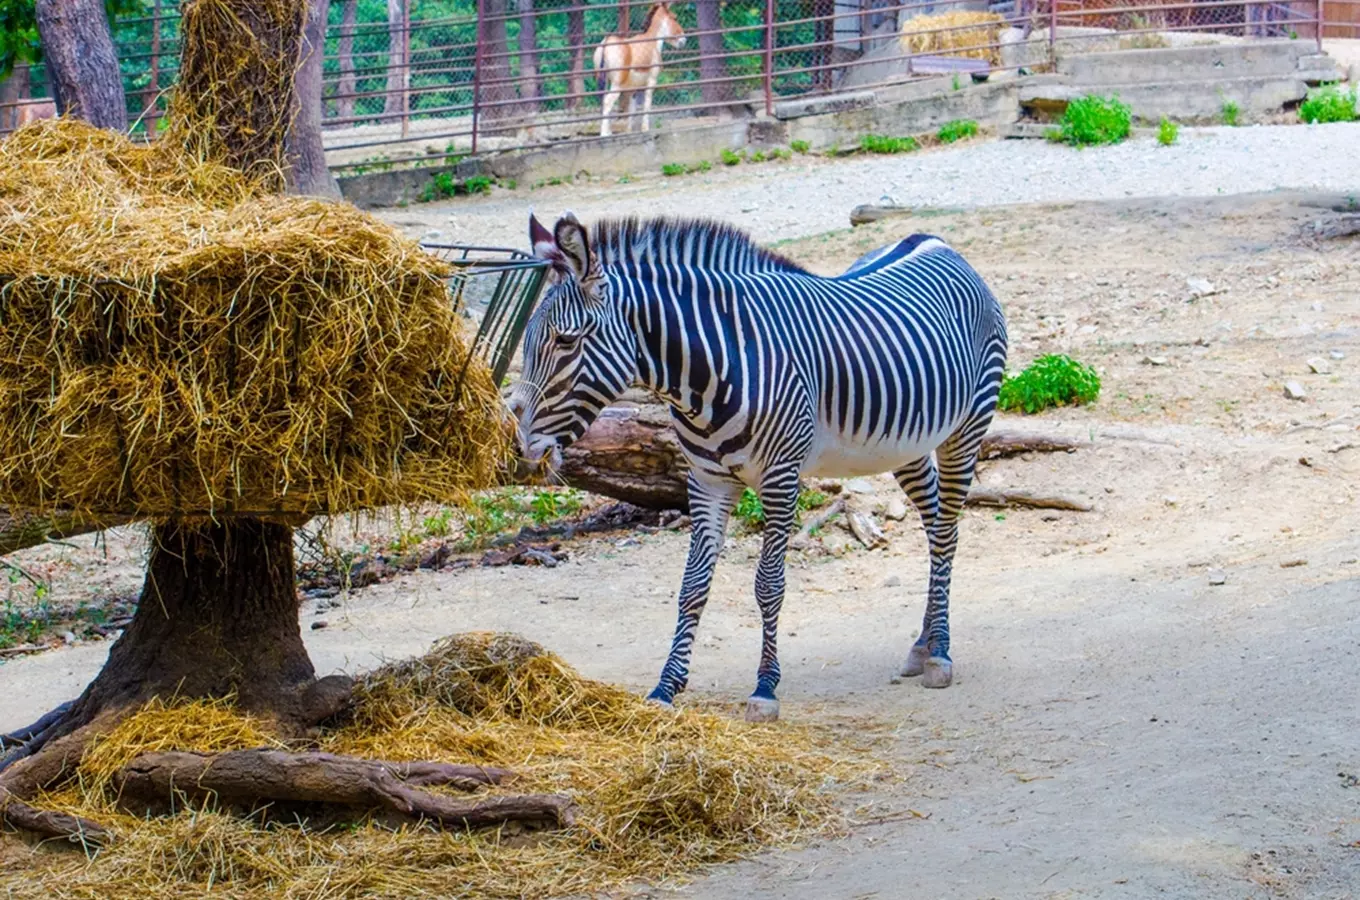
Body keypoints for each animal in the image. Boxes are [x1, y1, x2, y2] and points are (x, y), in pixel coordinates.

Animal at [514, 213, 1006, 728]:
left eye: (566, 342)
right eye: (527, 343)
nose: (523, 449)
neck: (712, 372)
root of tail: (934, 241)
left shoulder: (781, 477)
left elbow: (769, 585)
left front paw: (765, 687)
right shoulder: (706, 482)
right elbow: (692, 586)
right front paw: (667, 687)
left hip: (967, 426)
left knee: (947, 533)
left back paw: (941, 653)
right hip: (906, 444)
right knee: (934, 527)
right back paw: (922, 644)